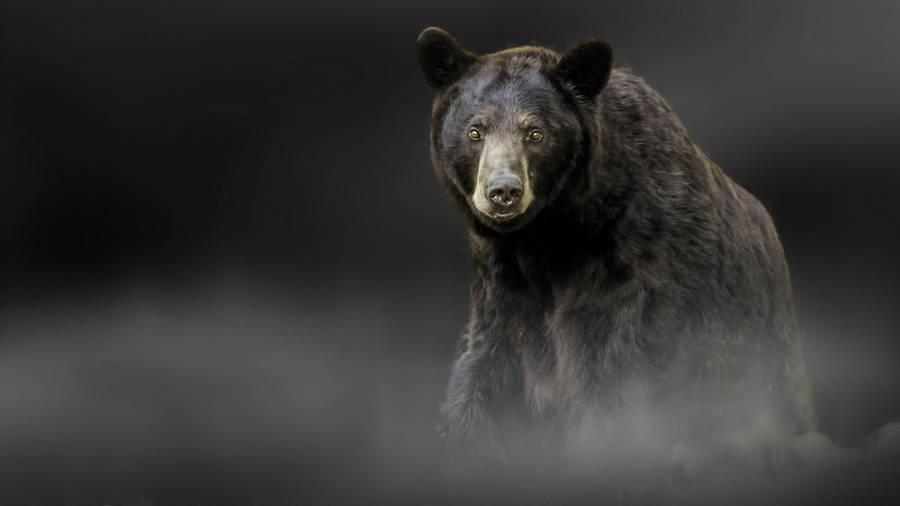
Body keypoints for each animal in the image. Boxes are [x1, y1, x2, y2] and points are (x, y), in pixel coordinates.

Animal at [416, 26, 816, 491]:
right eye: (474, 131)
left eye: (535, 133)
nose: (503, 191)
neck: (551, 239)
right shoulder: (501, 283)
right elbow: (482, 375)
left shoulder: (632, 274)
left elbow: (610, 384)